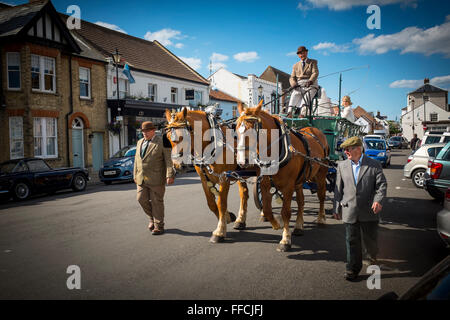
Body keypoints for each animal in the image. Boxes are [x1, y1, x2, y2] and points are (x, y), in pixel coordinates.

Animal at [165, 107, 250, 242]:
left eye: (183, 136)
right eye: (168, 137)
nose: (178, 166)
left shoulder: (224, 178)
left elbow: (221, 203)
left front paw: (219, 231)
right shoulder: (204, 178)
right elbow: (211, 203)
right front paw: (226, 218)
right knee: (244, 193)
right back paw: (240, 221)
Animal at [236, 101, 330, 251]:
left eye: (253, 132)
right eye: (236, 130)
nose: (241, 162)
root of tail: (316, 131)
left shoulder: (288, 187)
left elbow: (285, 212)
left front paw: (285, 239)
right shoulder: (265, 184)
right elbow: (267, 209)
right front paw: (276, 224)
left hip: (321, 173)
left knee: (321, 195)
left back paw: (321, 218)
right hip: (299, 181)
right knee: (301, 201)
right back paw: (298, 226)